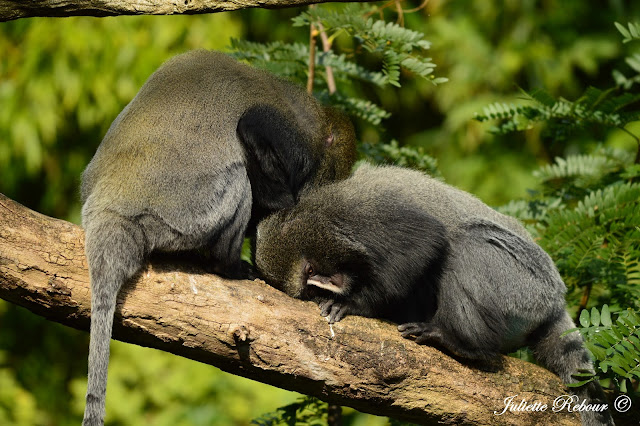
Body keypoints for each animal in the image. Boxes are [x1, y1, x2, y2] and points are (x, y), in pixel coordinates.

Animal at [80, 50, 358, 426]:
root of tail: (111, 207)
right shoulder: (294, 138)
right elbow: (252, 128)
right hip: (187, 216)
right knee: (238, 178)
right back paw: (228, 267)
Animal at [255, 164, 616, 426]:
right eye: (309, 288)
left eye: (313, 274)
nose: (322, 287)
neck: (321, 208)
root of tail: (556, 300)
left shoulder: (365, 216)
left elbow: (425, 239)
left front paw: (354, 304)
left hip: (524, 286)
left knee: (468, 243)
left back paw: (463, 344)